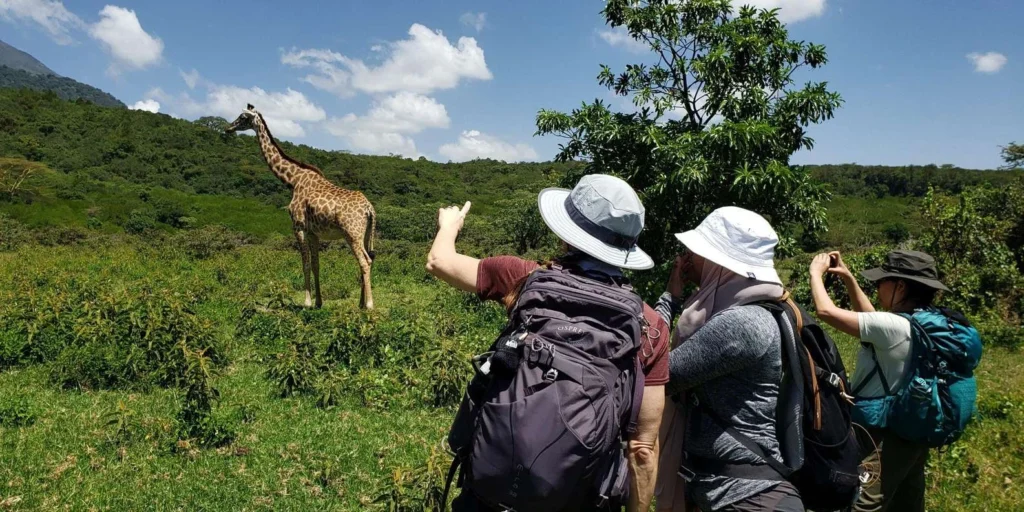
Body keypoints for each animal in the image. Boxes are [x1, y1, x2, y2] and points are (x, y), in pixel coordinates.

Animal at [226, 104, 376, 309]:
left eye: (242, 117)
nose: (228, 128)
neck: (293, 180)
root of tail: (370, 209)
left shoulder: (298, 226)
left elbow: (304, 263)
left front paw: (307, 302)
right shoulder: (313, 232)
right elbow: (316, 264)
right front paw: (319, 302)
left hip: (352, 233)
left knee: (365, 261)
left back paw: (369, 305)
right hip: (365, 234)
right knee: (366, 260)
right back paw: (360, 303)